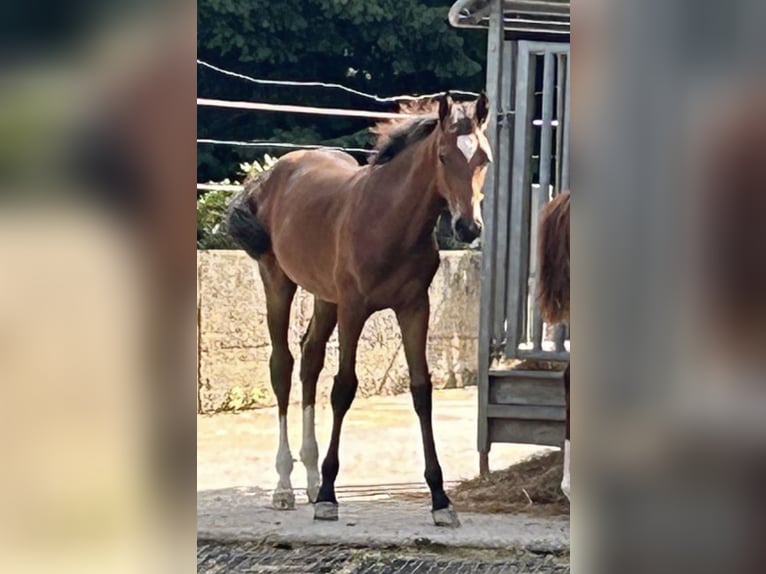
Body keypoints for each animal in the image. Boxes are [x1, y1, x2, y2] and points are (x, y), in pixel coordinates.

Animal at [228, 95, 492, 532]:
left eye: (483, 157)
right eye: (442, 155)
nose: (468, 227)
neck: (389, 220)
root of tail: (270, 176)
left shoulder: (414, 307)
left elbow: (421, 390)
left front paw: (440, 500)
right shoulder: (354, 307)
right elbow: (344, 388)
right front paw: (328, 497)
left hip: (325, 297)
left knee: (310, 358)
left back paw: (309, 477)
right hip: (278, 281)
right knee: (283, 365)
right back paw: (285, 486)